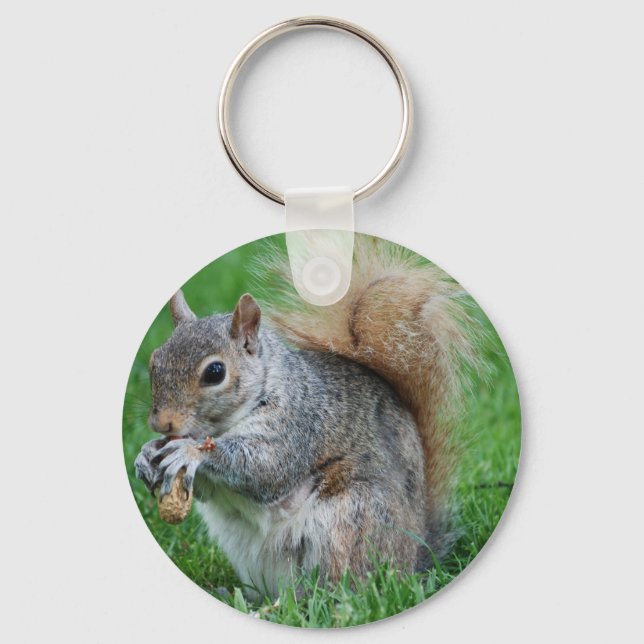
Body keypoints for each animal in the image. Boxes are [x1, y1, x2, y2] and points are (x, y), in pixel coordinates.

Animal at [135, 236, 479, 598]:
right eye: (155, 360)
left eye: (215, 372)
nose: (162, 423)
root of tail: (413, 561)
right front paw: (145, 455)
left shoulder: (298, 422)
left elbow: (265, 468)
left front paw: (189, 451)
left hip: (349, 521)